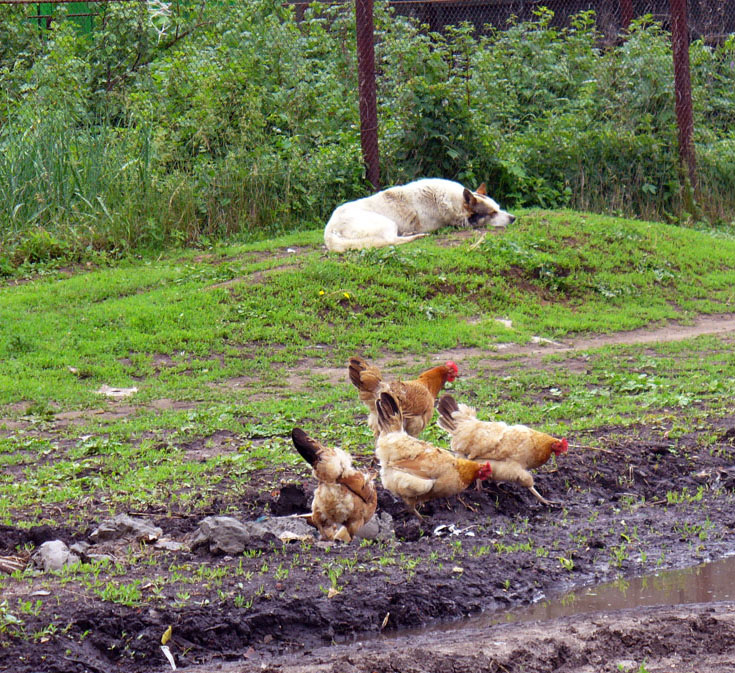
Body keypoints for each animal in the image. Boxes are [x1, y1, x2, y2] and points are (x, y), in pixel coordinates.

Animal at [324, 176, 516, 252]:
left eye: (499, 207)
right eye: (492, 212)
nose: (514, 218)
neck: (450, 201)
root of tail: (329, 231)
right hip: (387, 223)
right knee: (391, 240)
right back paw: (418, 236)